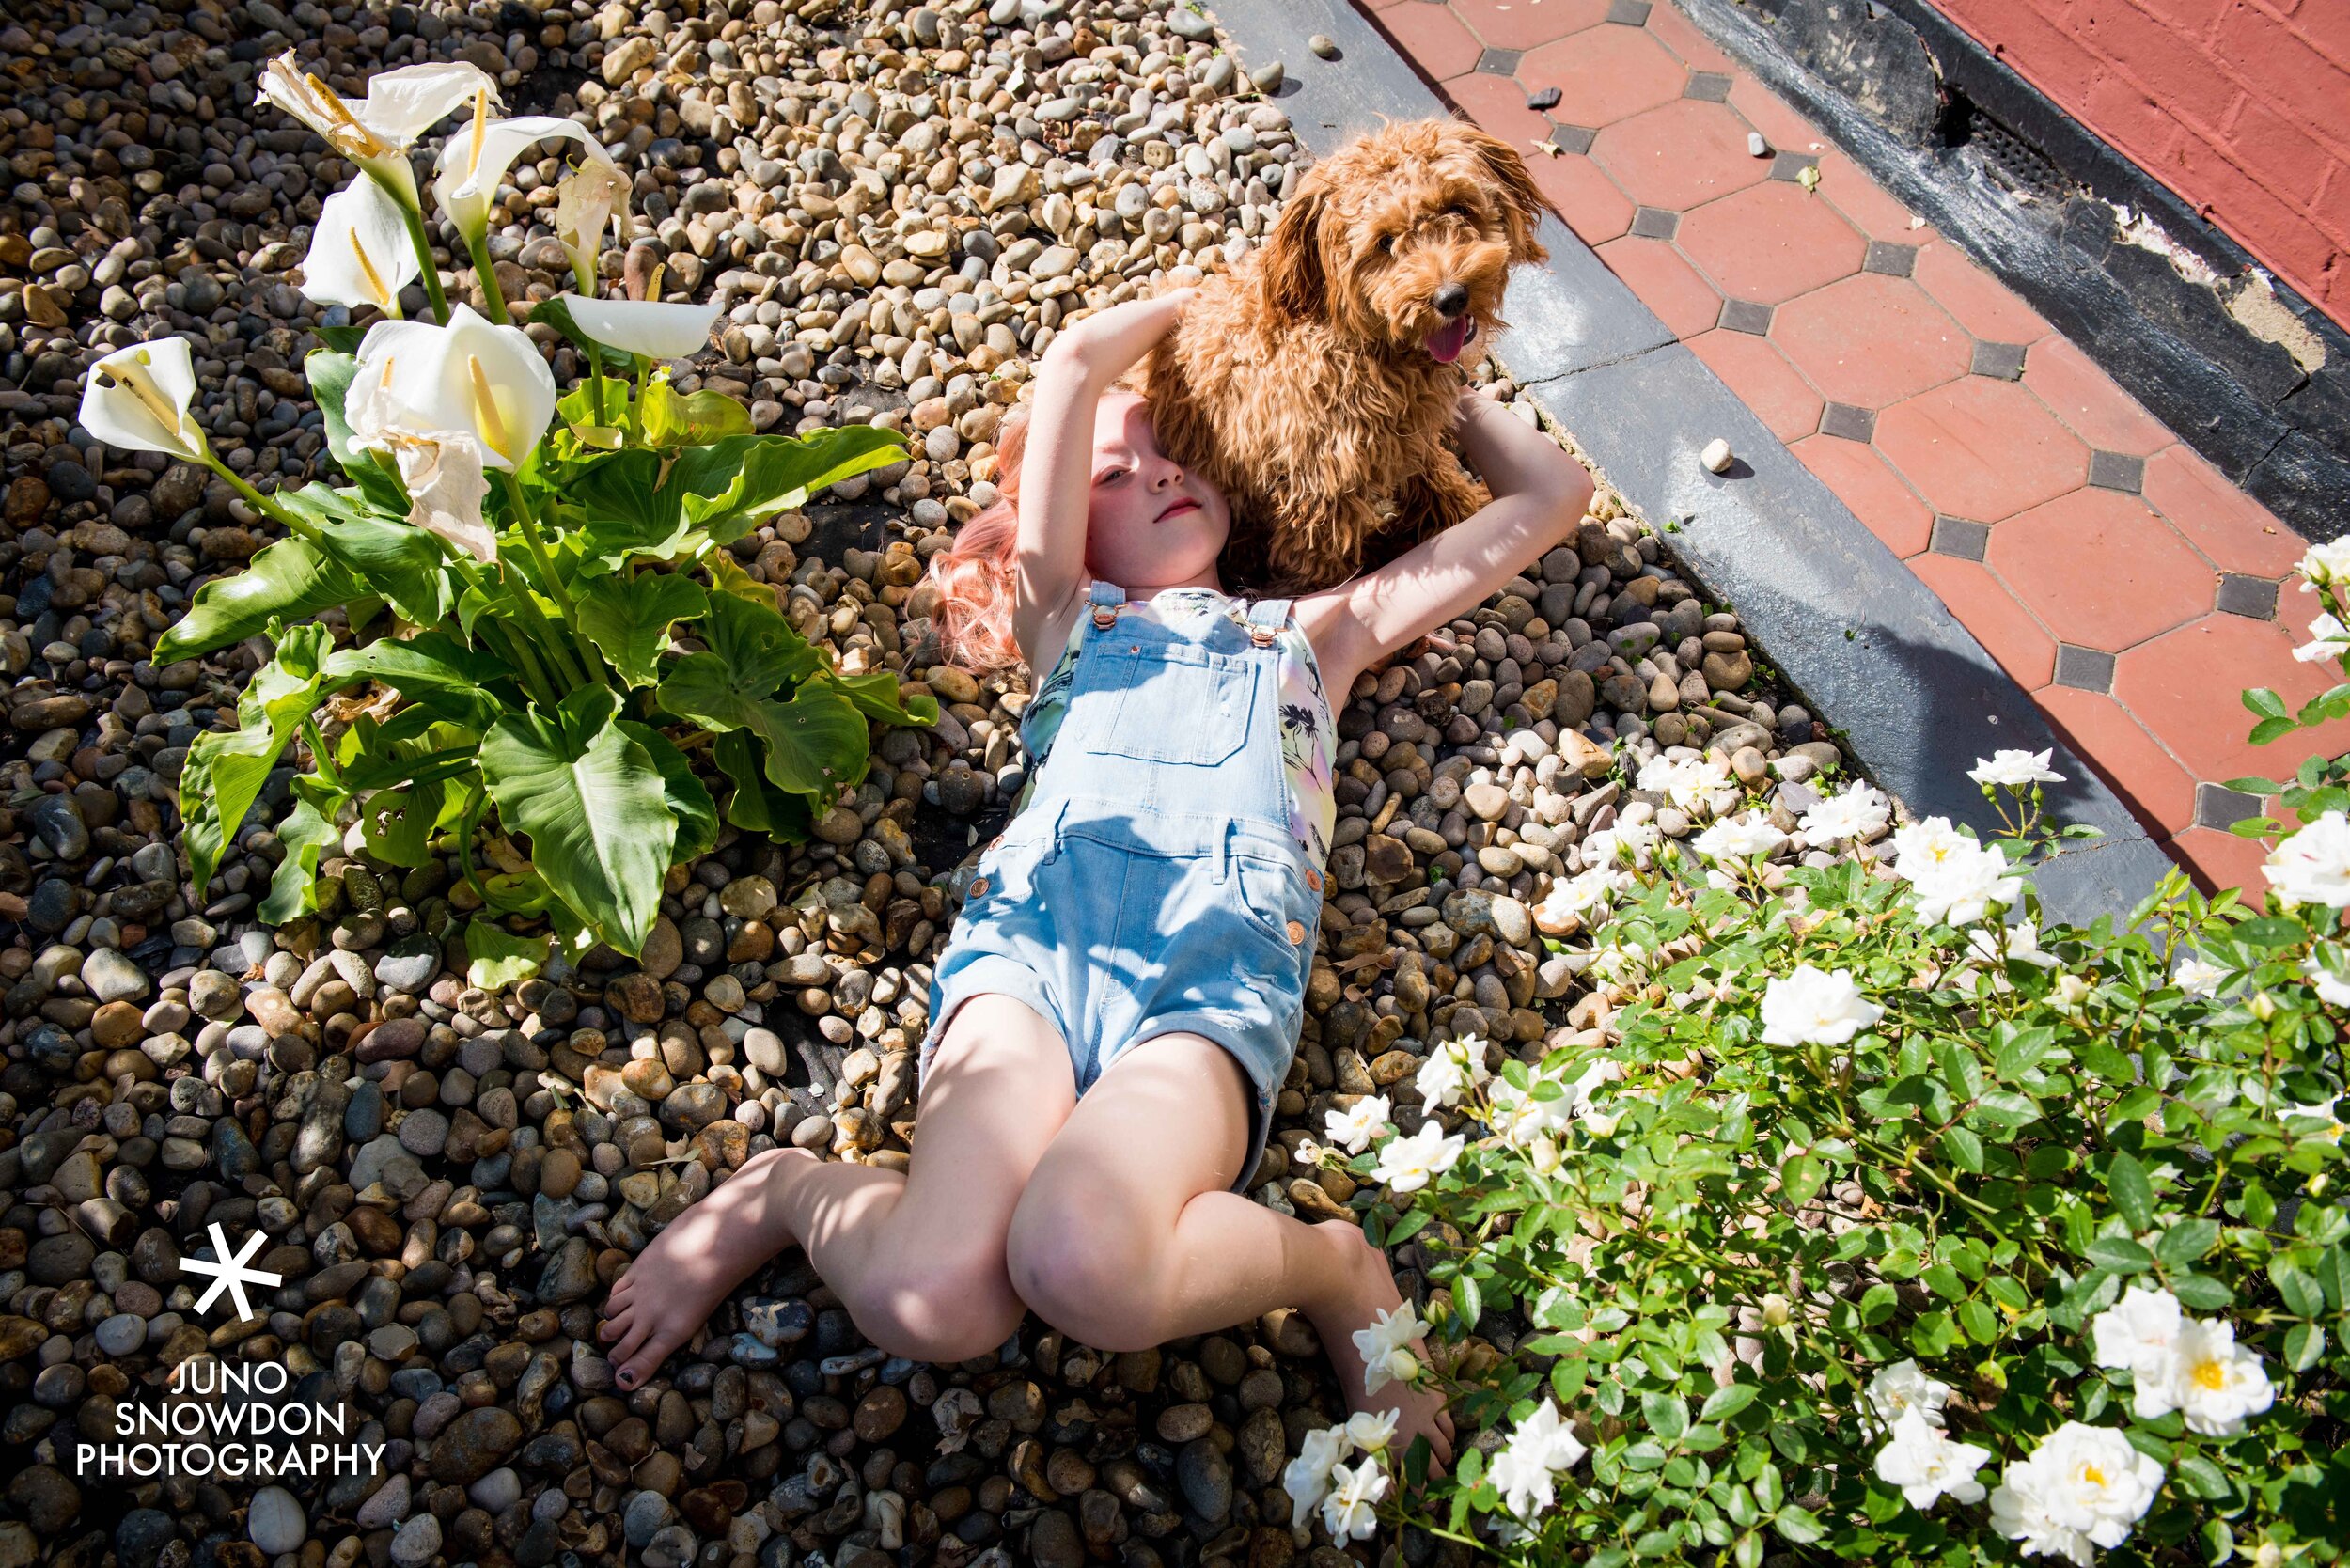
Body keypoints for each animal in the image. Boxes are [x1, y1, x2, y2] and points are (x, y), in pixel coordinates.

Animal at [1147, 119, 1551, 597]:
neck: (1354, 342)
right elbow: (1320, 567)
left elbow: (1431, 473)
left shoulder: (1407, 435)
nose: (1451, 298)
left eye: (1459, 208)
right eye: (1385, 242)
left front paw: (1463, 510)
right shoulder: (1317, 487)